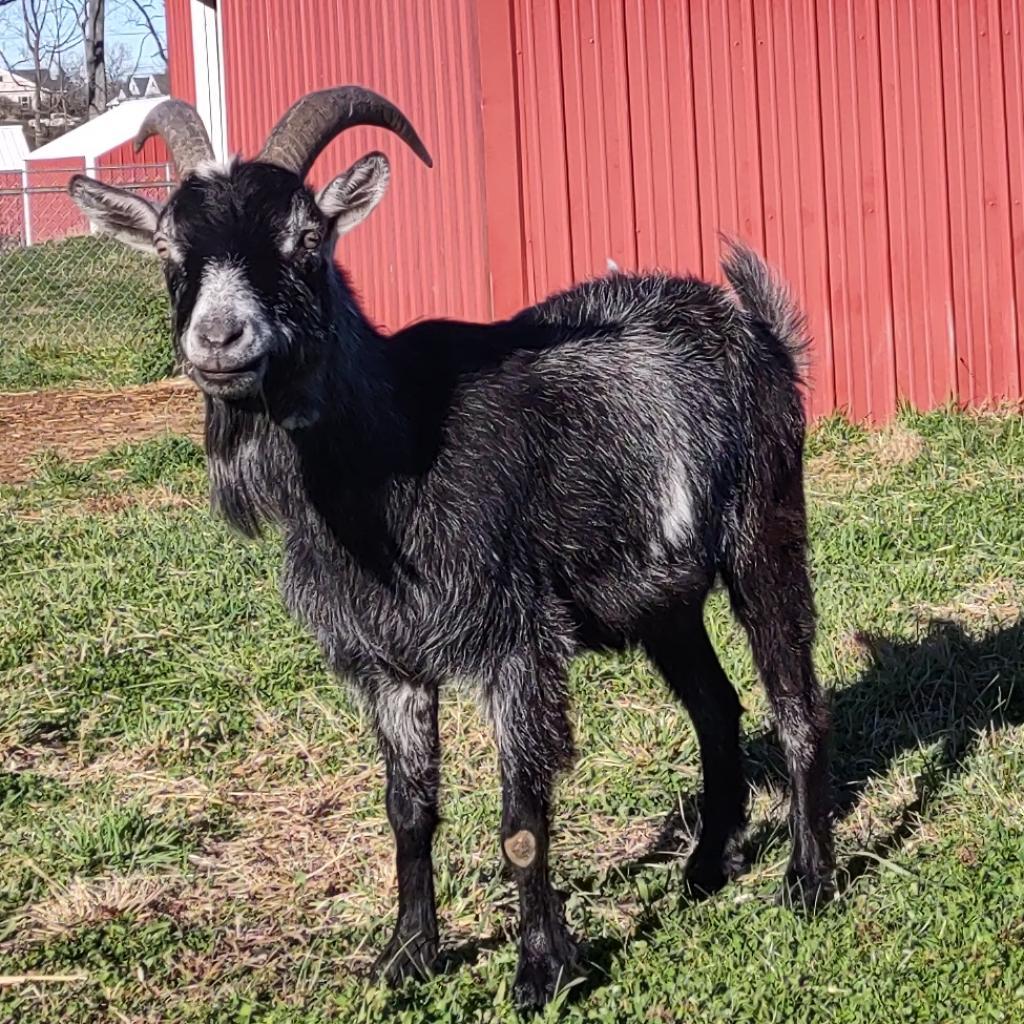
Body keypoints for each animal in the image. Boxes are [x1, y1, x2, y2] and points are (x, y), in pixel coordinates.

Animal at [69, 87, 834, 1010]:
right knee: (716, 708)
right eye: (169, 248)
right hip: (662, 597)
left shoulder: (517, 641)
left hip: (765, 531)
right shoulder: (387, 659)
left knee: (793, 699)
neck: (398, 447)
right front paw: (406, 958)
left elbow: (521, 817)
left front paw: (542, 972)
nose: (219, 339)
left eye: (306, 239)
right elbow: (409, 811)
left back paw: (809, 880)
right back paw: (705, 867)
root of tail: (756, 327)